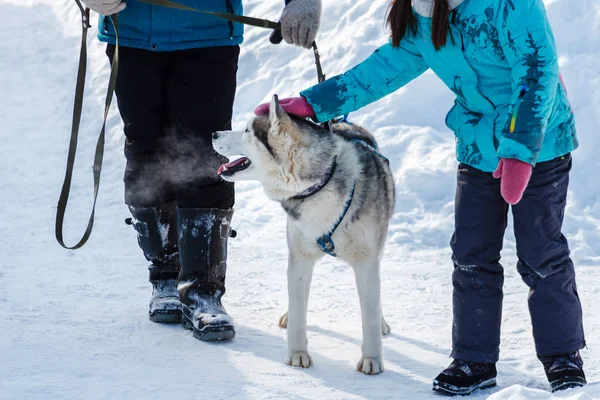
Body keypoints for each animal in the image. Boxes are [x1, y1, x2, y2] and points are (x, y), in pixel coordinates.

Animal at [211, 95, 394, 374]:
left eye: (247, 131)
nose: (213, 133)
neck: (320, 186)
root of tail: (345, 124)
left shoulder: (366, 262)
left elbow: (370, 316)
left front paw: (372, 358)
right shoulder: (300, 258)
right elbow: (299, 312)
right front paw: (298, 353)